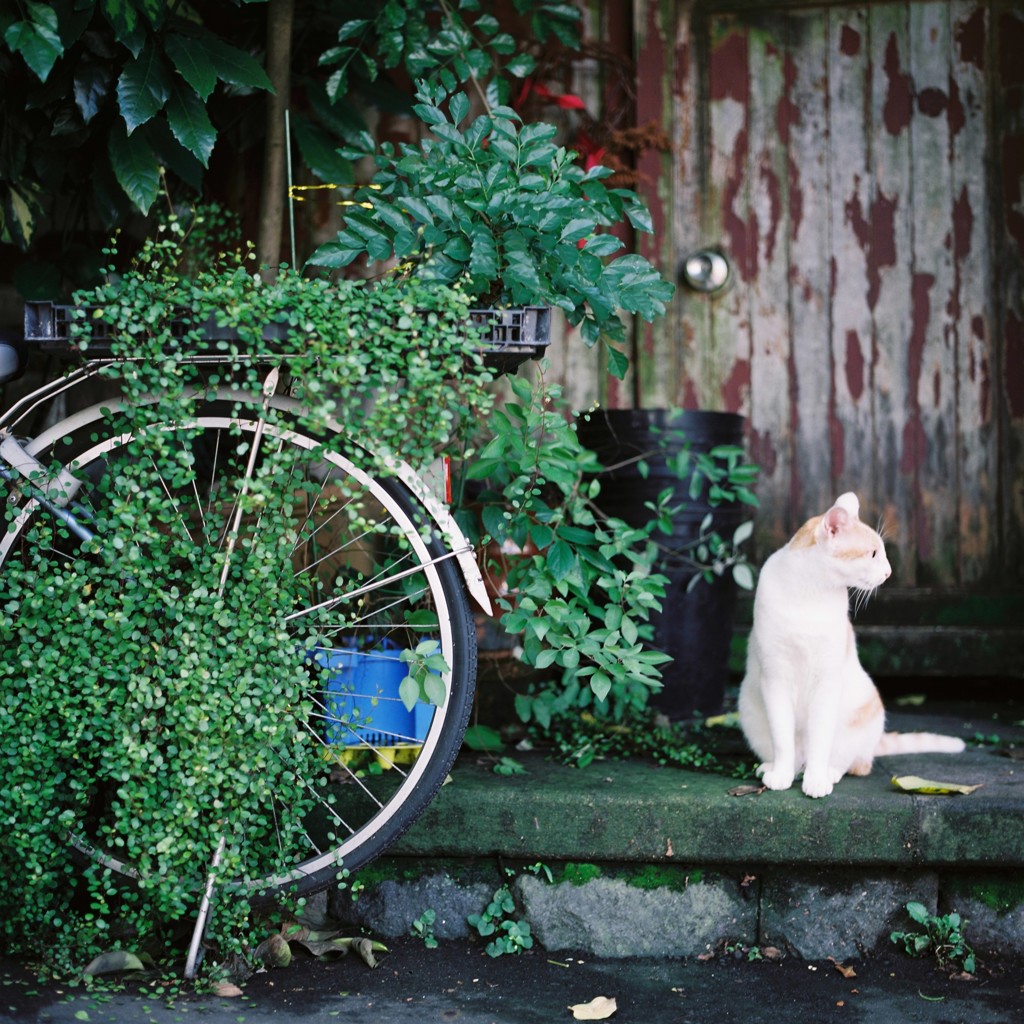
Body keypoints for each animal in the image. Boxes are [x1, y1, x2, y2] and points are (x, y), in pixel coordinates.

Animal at [741, 493, 962, 798]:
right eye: (873, 554)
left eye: (881, 553)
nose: (888, 572)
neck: (809, 593)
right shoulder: (775, 677)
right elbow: (783, 739)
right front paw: (781, 773)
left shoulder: (827, 680)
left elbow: (821, 738)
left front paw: (817, 779)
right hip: (748, 707)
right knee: (795, 755)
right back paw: (775, 767)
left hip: (864, 709)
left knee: (855, 763)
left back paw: (828, 772)